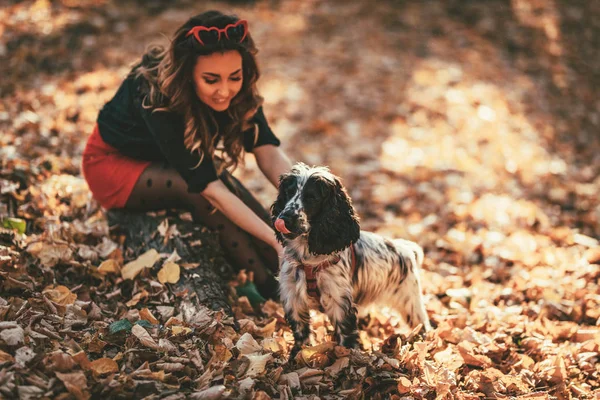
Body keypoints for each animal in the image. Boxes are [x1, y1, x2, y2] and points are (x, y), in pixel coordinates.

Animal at [272, 163, 432, 356]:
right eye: (288, 193)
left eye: (311, 197)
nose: (284, 219)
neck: (307, 258)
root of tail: (406, 249)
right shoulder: (292, 297)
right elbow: (301, 332)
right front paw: (298, 355)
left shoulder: (339, 300)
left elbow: (345, 332)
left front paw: (347, 356)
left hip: (410, 302)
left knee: (422, 324)